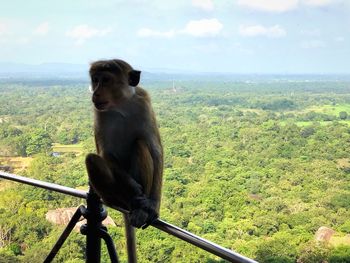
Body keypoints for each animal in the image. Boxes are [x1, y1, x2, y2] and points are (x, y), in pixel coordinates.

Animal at [85, 58, 163, 230]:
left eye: (106, 80)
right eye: (95, 80)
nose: (95, 92)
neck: (121, 106)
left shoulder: (144, 105)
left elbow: (156, 151)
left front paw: (154, 204)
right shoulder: (100, 113)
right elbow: (105, 152)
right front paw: (132, 187)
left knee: (140, 144)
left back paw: (141, 209)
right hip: (110, 195)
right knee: (92, 160)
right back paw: (129, 201)